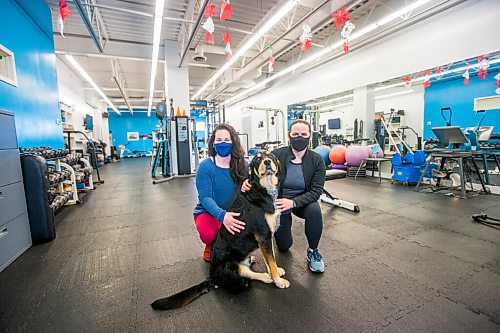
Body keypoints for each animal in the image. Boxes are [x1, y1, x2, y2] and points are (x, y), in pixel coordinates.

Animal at [149, 152, 290, 310]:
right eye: (258, 158)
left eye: (271, 156)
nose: (267, 162)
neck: (262, 189)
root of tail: (211, 277)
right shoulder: (263, 235)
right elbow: (270, 260)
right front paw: (278, 280)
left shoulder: (268, 236)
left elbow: (270, 258)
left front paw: (277, 270)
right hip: (233, 273)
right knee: (245, 276)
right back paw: (266, 277)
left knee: (246, 270)